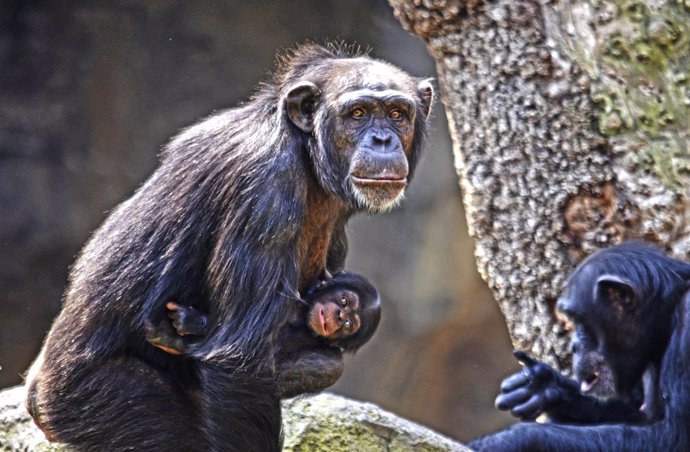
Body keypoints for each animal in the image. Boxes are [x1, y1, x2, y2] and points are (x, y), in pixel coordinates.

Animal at [468, 244, 690, 452]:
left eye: (578, 319)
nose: (574, 345)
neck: (663, 315)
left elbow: (673, 438)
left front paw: (504, 441)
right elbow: (637, 413)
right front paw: (543, 386)